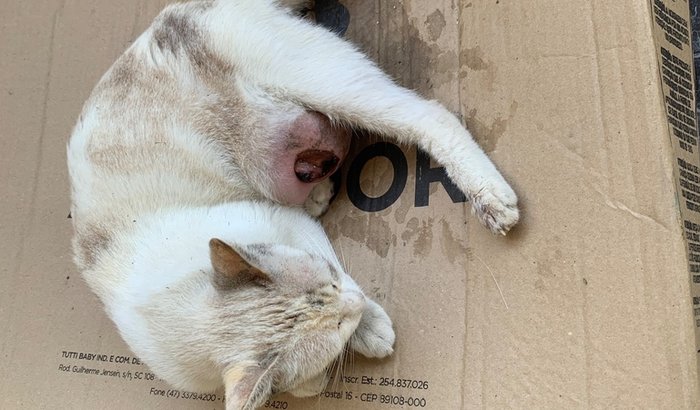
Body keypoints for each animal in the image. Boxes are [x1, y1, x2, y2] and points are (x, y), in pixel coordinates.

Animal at [67, 1, 519, 409]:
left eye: (332, 292)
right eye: (336, 326)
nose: (355, 307)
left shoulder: (284, 223)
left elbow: (337, 266)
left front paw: (372, 327)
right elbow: (309, 382)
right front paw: (355, 339)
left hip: (331, 89)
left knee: (428, 116)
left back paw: (491, 200)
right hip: (279, 175)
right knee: (335, 145)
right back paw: (320, 190)